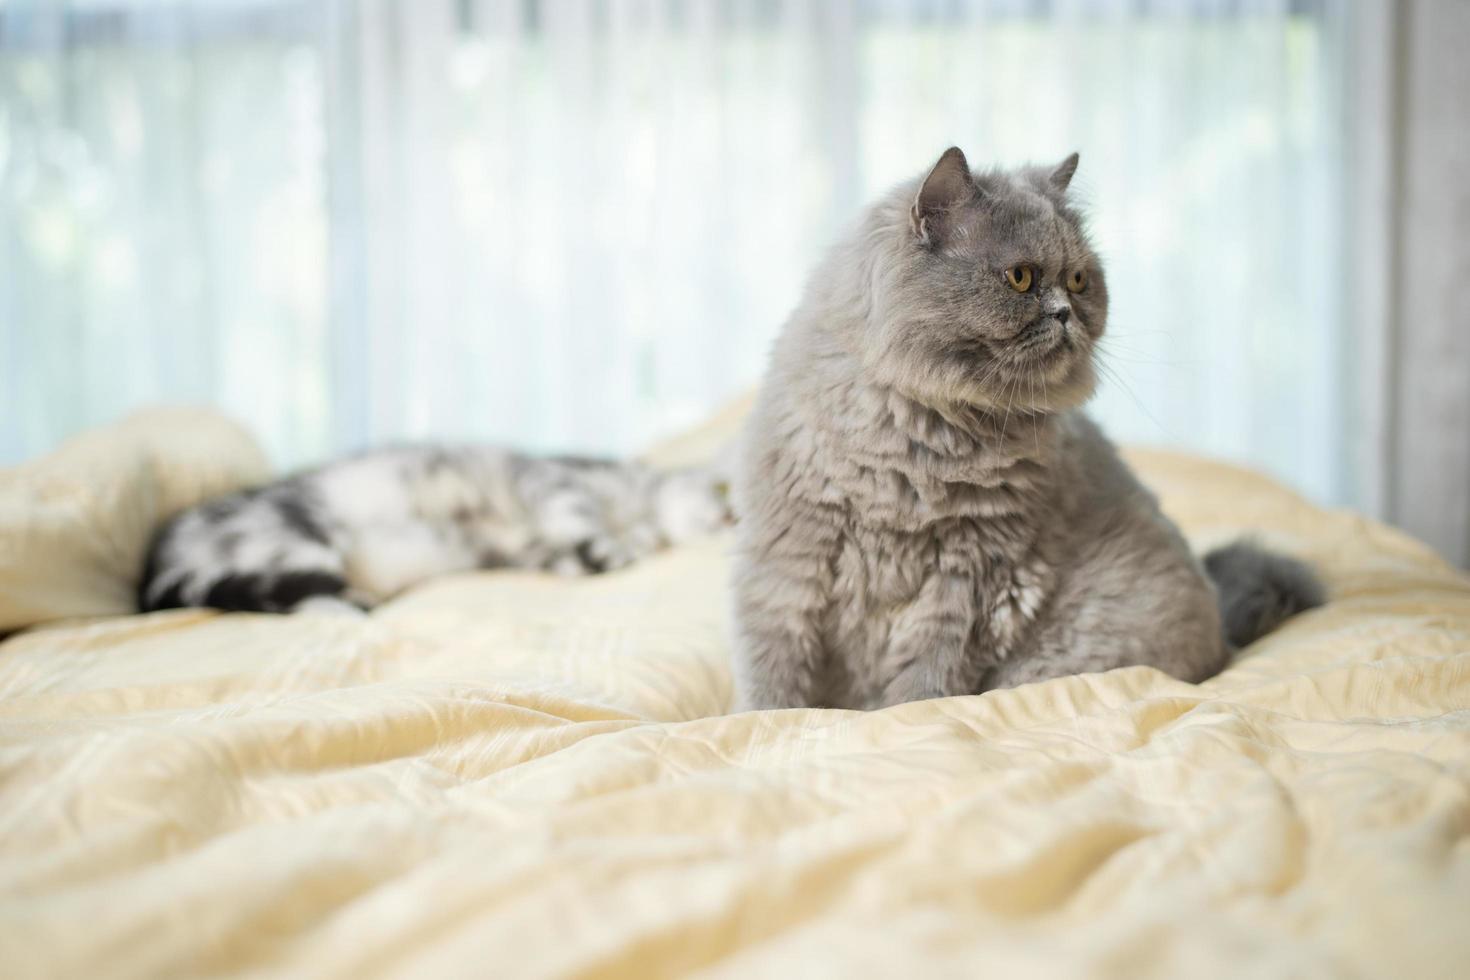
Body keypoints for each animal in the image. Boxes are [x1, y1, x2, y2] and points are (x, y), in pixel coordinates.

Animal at [138, 443, 735, 614]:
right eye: (728, 493)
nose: (730, 520)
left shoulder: (531, 548)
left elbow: (566, 555)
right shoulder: (553, 481)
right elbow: (582, 521)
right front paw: (616, 548)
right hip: (300, 536)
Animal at [729, 145, 1328, 708]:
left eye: (1079, 280)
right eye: (1020, 278)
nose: (1065, 312)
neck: (918, 440)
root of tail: (1225, 629)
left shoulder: (968, 573)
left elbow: (924, 680)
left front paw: (896, 717)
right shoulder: (791, 556)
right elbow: (773, 670)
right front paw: (770, 718)